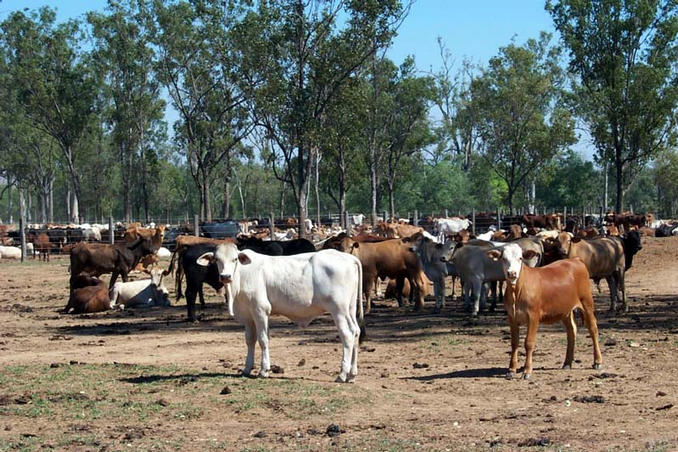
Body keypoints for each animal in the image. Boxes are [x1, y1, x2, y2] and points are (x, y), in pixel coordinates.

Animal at [197, 245, 366, 384]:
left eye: (235, 259)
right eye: (217, 259)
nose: (225, 276)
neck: (241, 276)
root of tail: (348, 257)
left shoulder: (260, 310)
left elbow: (263, 340)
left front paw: (264, 370)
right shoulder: (248, 316)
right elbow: (250, 340)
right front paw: (246, 369)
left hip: (338, 310)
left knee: (347, 335)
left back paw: (342, 374)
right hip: (350, 309)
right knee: (356, 332)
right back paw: (352, 374)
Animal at [486, 242, 604, 380]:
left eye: (520, 258)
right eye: (504, 259)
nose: (512, 273)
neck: (517, 291)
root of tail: (575, 260)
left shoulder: (533, 316)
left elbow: (529, 343)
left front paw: (527, 371)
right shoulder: (512, 317)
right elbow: (514, 343)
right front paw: (511, 370)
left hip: (587, 303)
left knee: (593, 329)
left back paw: (597, 361)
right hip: (565, 310)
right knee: (571, 331)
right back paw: (567, 362)